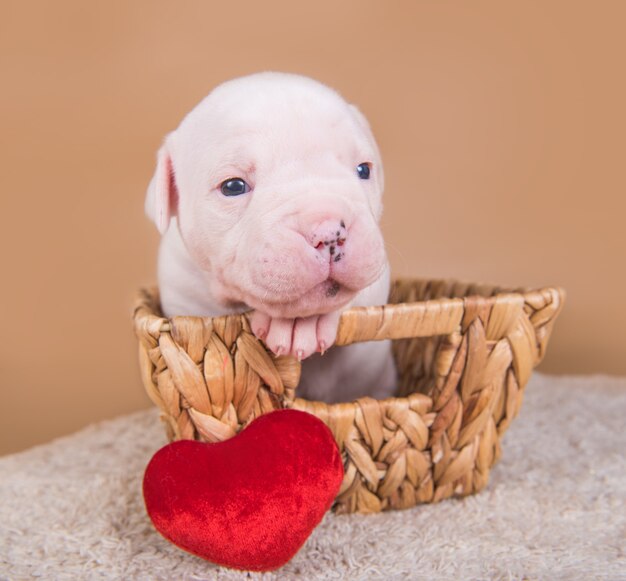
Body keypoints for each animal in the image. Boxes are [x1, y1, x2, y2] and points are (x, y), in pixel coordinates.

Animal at [146, 70, 394, 402]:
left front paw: (304, 323)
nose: (328, 232)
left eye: (363, 170)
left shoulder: (377, 275)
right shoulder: (182, 294)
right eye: (233, 186)